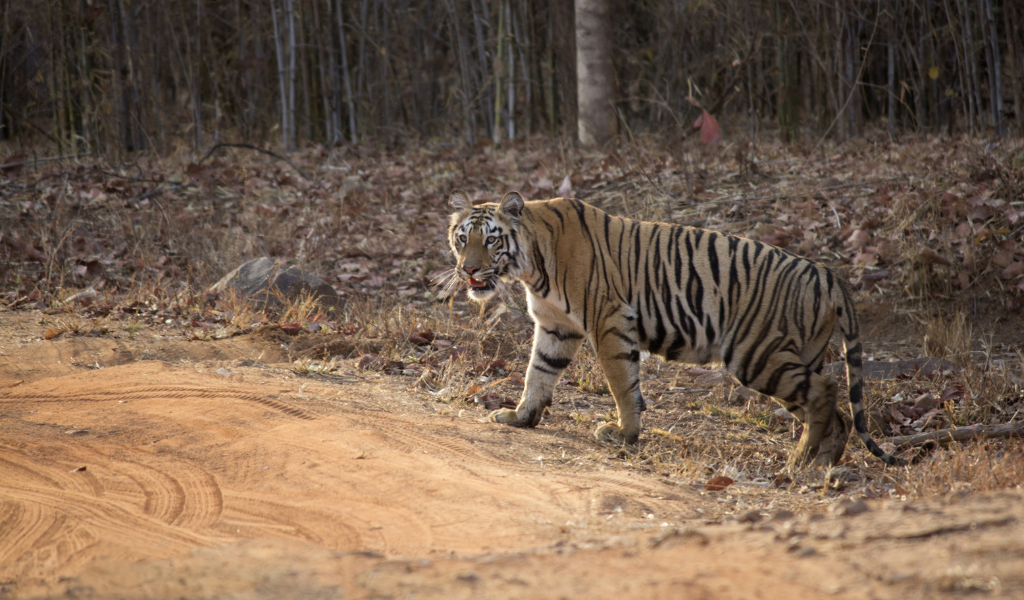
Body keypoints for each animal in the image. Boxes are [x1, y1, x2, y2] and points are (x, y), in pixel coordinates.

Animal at [446, 190, 909, 469]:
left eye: (491, 240)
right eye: (462, 239)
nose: (468, 270)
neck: (531, 265)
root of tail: (829, 275)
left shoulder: (609, 320)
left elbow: (621, 383)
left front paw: (624, 434)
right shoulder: (557, 328)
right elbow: (537, 374)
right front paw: (520, 417)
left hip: (755, 354)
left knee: (825, 392)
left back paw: (799, 461)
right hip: (795, 356)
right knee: (835, 413)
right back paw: (821, 464)